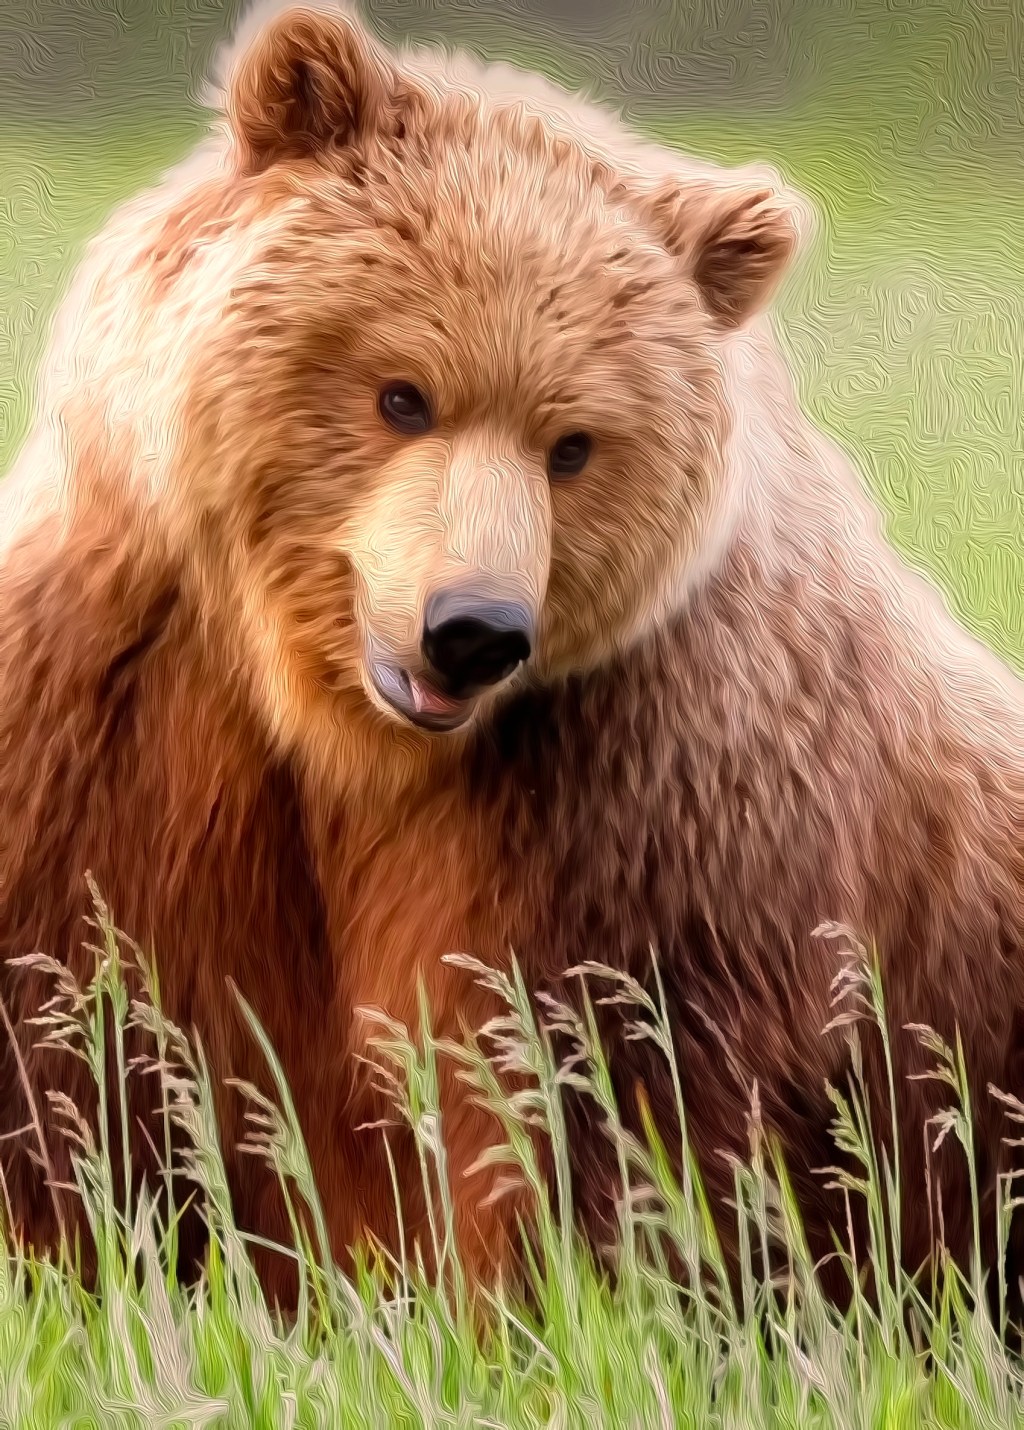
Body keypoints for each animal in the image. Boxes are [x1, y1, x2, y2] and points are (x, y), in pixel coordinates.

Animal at [3, 0, 1024, 1316]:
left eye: (573, 443)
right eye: (401, 392)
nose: (472, 628)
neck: (344, 728)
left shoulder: (627, 791)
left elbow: (587, 1094)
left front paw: (532, 1303)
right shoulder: (119, 710)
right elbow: (71, 1044)